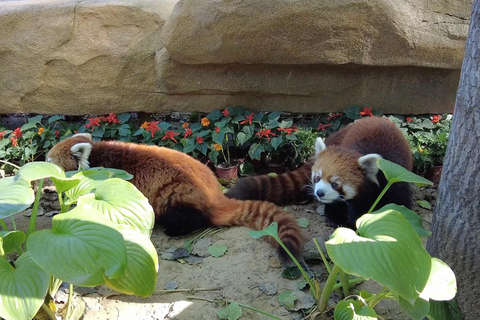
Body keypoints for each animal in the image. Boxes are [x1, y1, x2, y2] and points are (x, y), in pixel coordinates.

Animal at [47, 134, 304, 262]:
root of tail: (216, 195)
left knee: (188, 218)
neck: (96, 157)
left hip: (178, 198)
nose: (39, 164)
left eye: (49, 161)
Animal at [228, 116, 412, 229]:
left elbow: (400, 206)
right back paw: (335, 219)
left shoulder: (396, 177)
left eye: (335, 184)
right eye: (317, 178)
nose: (319, 193)